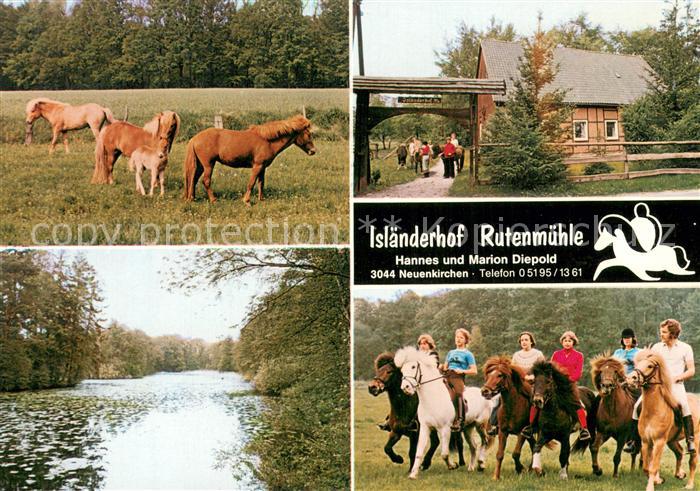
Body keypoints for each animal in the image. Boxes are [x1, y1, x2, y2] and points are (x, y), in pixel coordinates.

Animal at [182, 114, 316, 206]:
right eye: (308, 134)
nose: (313, 151)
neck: (267, 140)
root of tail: (195, 138)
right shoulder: (257, 166)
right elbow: (251, 183)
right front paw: (246, 201)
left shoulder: (262, 167)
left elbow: (261, 183)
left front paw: (261, 200)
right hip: (208, 165)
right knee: (205, 181)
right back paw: (213, 200)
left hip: (200, 165)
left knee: (193, 179)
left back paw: (192, 198)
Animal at [394, 346, 458, 479]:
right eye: (402, 370)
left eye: (413, 367)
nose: (405, 388)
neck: (432, 398)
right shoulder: (425, 427)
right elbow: (418, 452)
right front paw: (413, 474)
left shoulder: (445, 428)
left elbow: (444, 453)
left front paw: (452, 466)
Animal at [626, 349, 699, 491]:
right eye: (638, 363)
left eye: (649, 366)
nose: (630, 378)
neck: (653, 411)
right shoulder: (646, 442)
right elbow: (646, 467)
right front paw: (658, 480)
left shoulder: (659, 441)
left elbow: (653, 467)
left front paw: (651, 486)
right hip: (671, 440)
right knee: (679, 452)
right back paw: (679, 474)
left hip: (696, 438)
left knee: (693, 460)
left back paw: (689, 484)